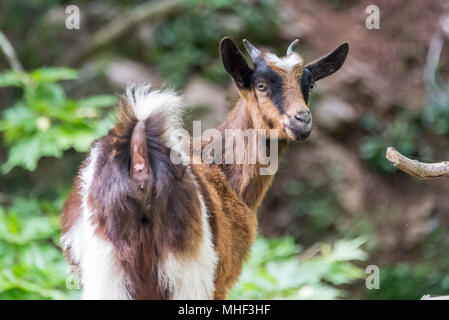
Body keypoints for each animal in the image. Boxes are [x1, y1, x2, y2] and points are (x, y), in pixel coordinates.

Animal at [60, 37, 346, 300]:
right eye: (261, 85)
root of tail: (140, 156)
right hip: (188, 267)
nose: (302, 120)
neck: (225, 172)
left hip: (106, 271)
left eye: (309, 84)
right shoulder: (221, 279)